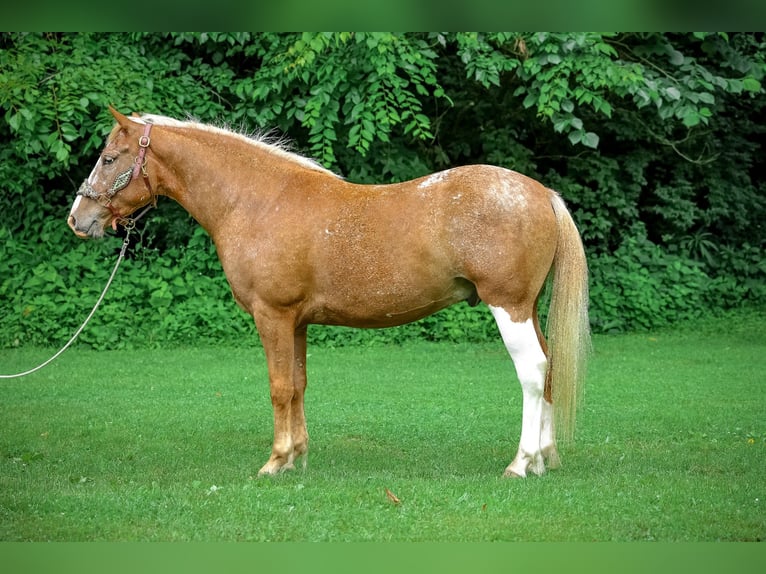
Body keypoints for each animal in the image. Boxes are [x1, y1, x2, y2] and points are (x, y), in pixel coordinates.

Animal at [68, 106, 590, 478]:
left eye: (109, 159)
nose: (78, 219)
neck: (257, 201)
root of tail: (542, 193)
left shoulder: (272, 316)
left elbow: (279, 387)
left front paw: (275, 461)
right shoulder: (296, 321)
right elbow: (298, 385)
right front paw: (297, 457)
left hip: (510, 307)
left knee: (532, 371)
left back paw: (520, 464)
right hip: (529, 309)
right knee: (548, 369)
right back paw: (545, 459)